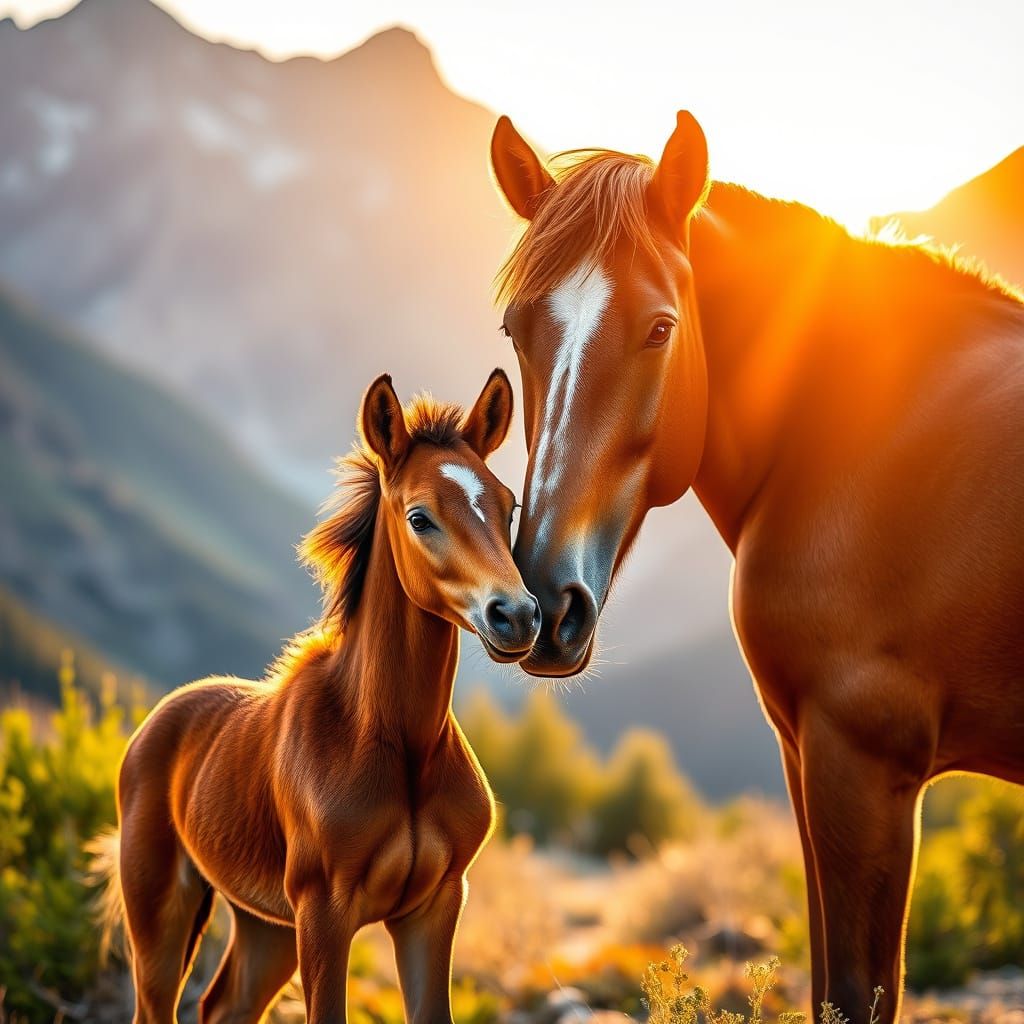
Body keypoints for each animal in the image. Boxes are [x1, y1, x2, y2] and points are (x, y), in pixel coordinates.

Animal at [89, 369, 540, 1024]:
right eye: (420, 517)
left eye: (509, 509)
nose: (518, 617)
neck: (396, 746)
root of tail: (156, 722)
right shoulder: (325, 913)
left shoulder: (434, 908)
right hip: (162, 906)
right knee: (158, 1005)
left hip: (267, 923)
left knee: (225, 1006)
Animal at [489, 112, 1024, 1022]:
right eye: (516, 331)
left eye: (661, 327)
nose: (544, 607)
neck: (851, 427)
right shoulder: (803, 752)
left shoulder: (862, 761)